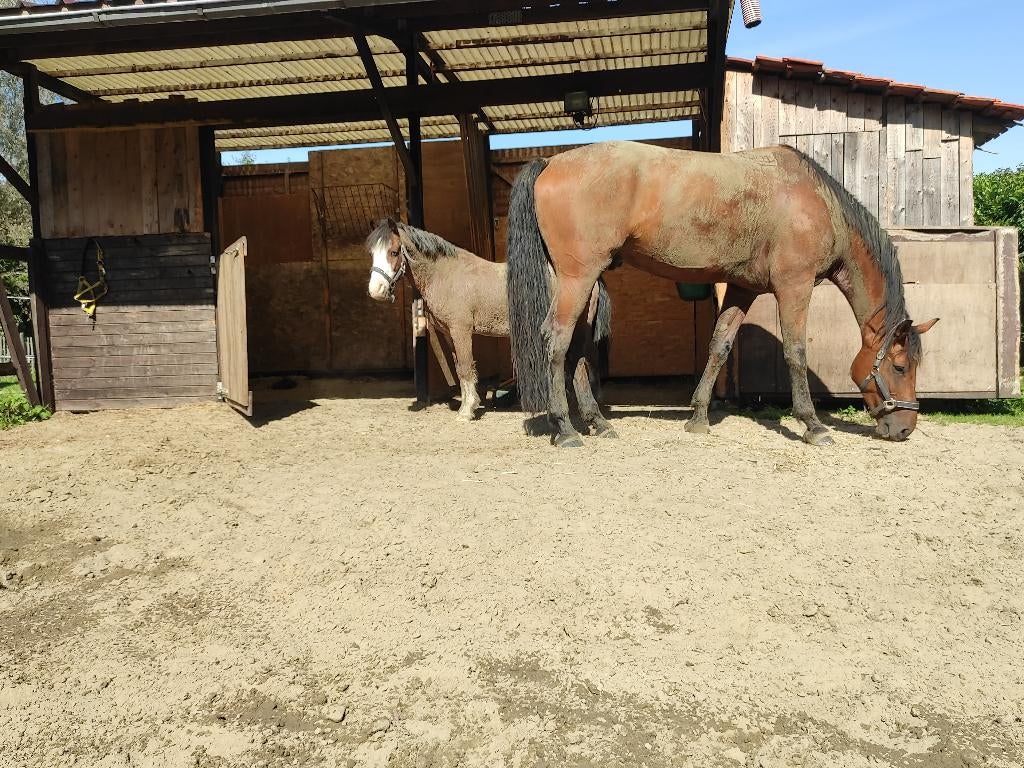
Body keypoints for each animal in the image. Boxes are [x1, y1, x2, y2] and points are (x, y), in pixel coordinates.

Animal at [366, 218, 611, 423]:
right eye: (372, 253)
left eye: (394, 252)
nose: (376, 291)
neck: (446, 275)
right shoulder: (449, 334)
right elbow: (459, 368)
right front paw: (469, 404)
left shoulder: (461, 330)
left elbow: (466, 366)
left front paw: (466, 411)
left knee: (586, 357)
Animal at [506, 141, 938, 448]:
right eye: (901, 367)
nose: (905, 429)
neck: (818, 202)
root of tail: (550, 162)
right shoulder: (794, 286)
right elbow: (796, 352)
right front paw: (813, 425)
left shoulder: (743, 289)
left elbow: (720, 345)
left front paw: (698, 418)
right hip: (577, 278)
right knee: (557, 339)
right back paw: (565, 430)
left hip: (587, 285)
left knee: (577, 349)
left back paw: (598, 423)